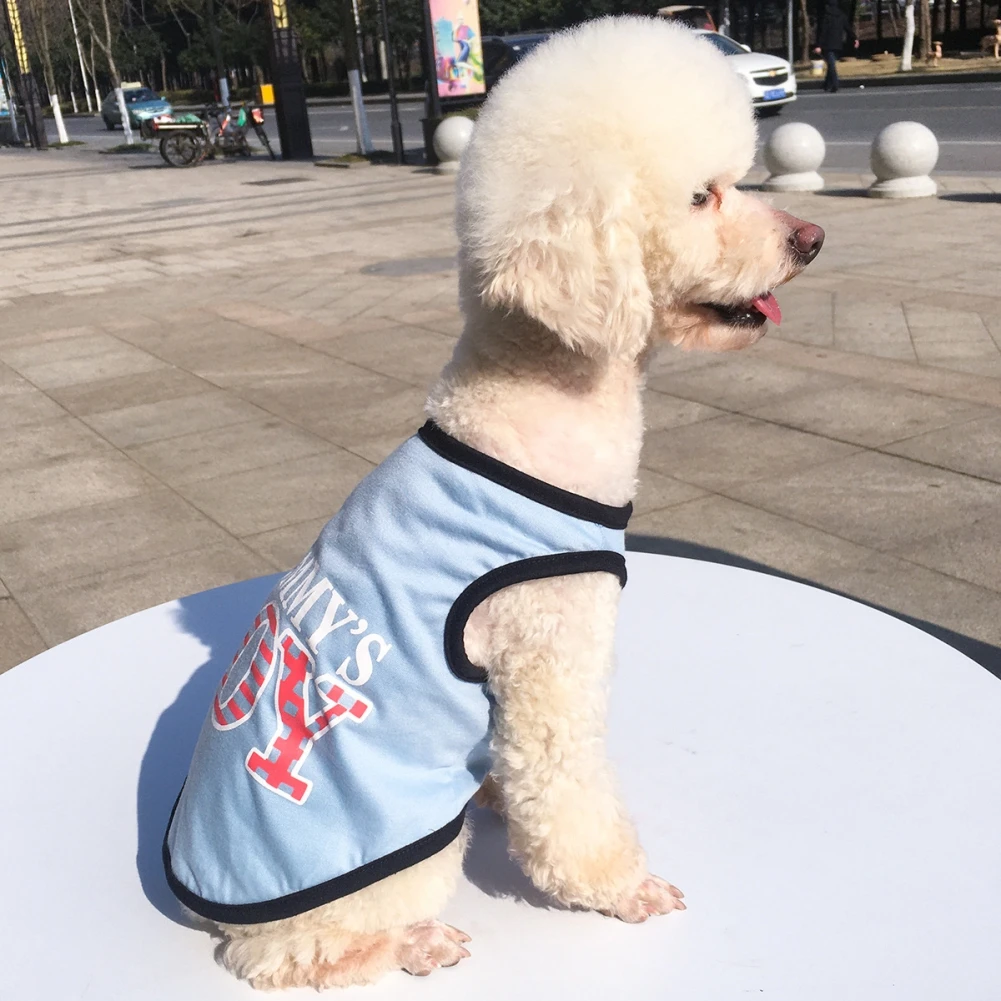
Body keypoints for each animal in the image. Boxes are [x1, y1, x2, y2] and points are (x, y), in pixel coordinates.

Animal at [164, 13, 824, 984]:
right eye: (702, 197)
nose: (812, 237)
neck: (534, 402)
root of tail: (211, 905)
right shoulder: (550, 650)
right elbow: (564, 792)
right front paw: (623, 889)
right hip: (392, 866)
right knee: (297, 955)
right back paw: (413, 939)